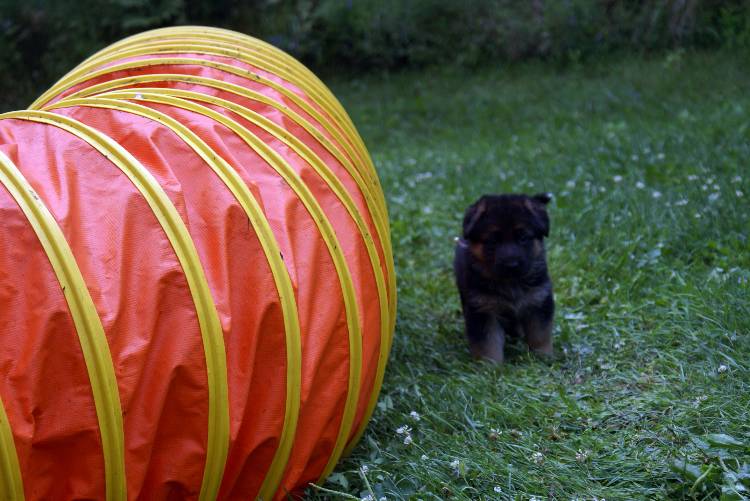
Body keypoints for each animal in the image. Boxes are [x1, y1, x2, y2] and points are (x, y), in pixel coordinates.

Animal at [456, 193, 556, 362]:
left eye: (523, 238)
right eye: (493, 241)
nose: (511, 265)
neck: (510, 283)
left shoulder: (538, 301)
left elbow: (540, 335)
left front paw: (543, 357)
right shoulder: (483, 309)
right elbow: (487, 343)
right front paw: (490, 364)